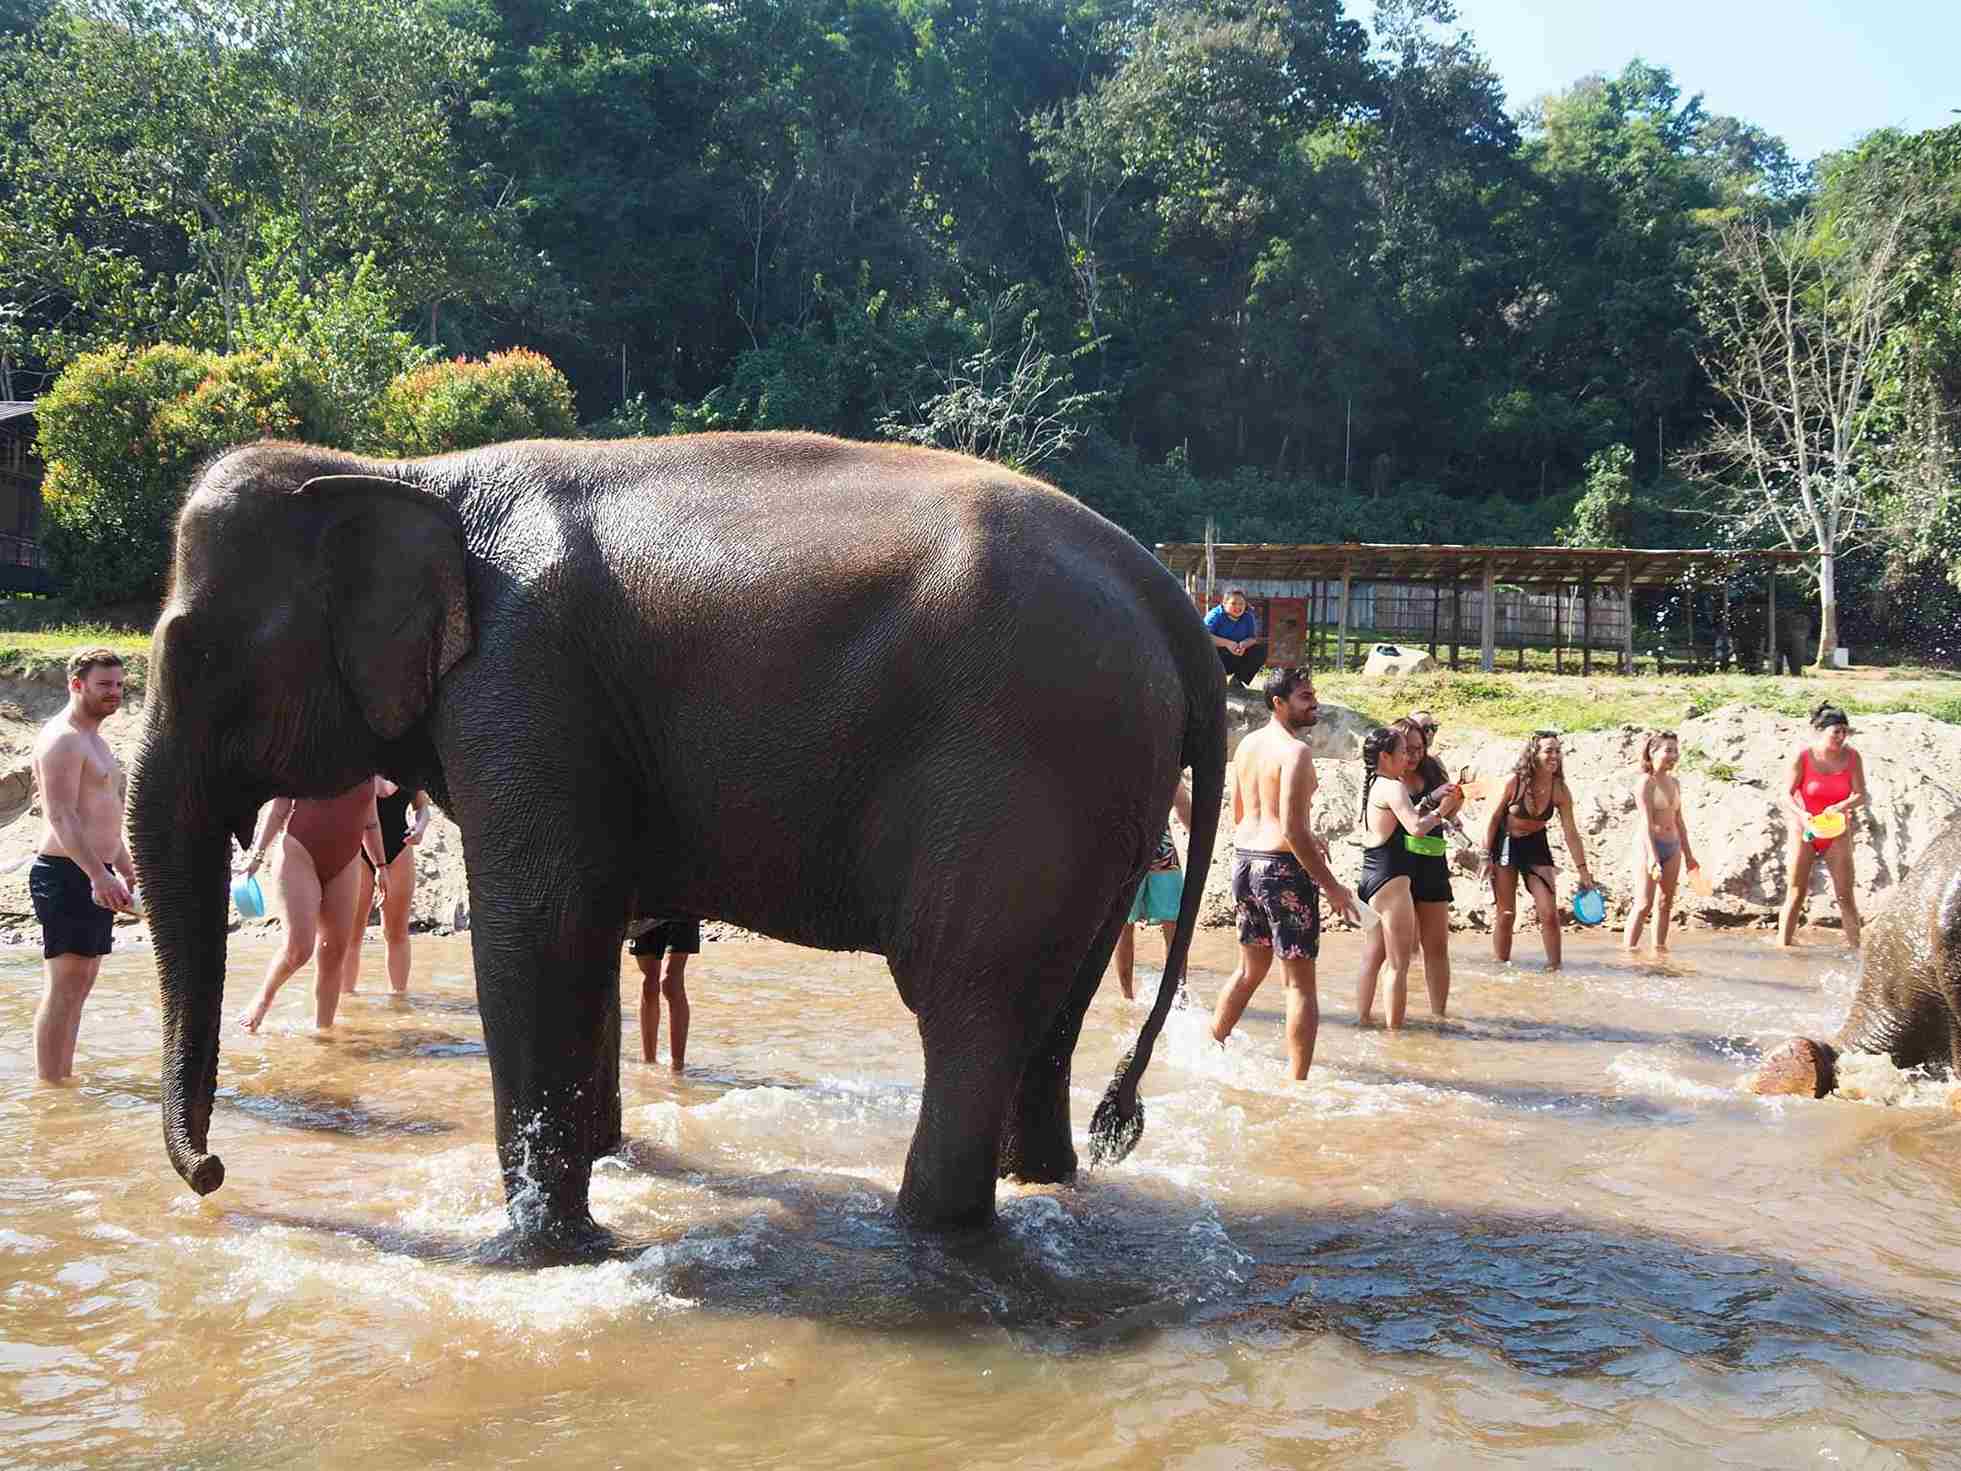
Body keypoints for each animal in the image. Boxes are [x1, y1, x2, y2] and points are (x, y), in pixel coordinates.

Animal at [129, 432, 1225, 1259]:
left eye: (194, 653)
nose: (213, 1174)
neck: (404, 471)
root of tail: (1167, 596)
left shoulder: (522, 687)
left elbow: (537, 937)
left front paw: (546, 1253)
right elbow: (582, 935)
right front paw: (610, 1171)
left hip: (1023, 774)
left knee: (967, 1005)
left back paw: (920, 1235)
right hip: (1101, 802)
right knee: (1052, 1012)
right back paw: (1042, 1186)